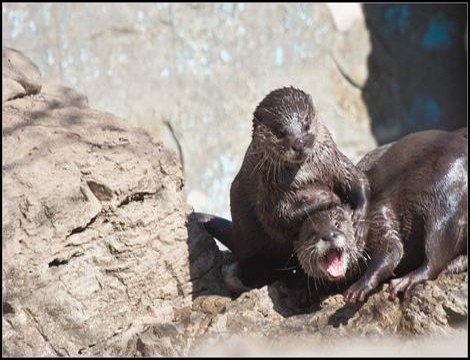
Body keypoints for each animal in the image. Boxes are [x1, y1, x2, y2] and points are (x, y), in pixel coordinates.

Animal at [193, 87, 370, 292]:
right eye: (280, 132)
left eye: (307, 124)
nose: (299, 143)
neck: (308, 176)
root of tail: (236, 236)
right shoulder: (268, 191)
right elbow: (279, 217)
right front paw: (327, 197)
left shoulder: (335, 163)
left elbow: (357, 179)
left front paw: (360, 221)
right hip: (249, 245)